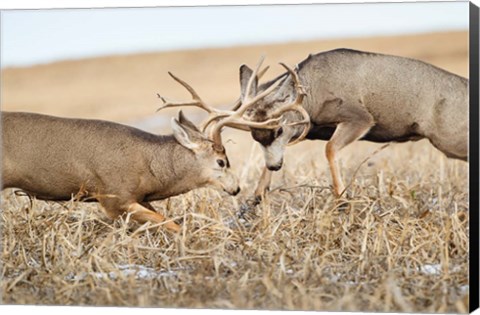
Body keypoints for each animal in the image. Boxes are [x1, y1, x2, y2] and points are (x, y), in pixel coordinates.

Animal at [0, 107, 240, 233]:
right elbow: (167, 222)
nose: (237, 188)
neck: (149, 165)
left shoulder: (139, 196)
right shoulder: (114, 196)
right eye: (221, 162)